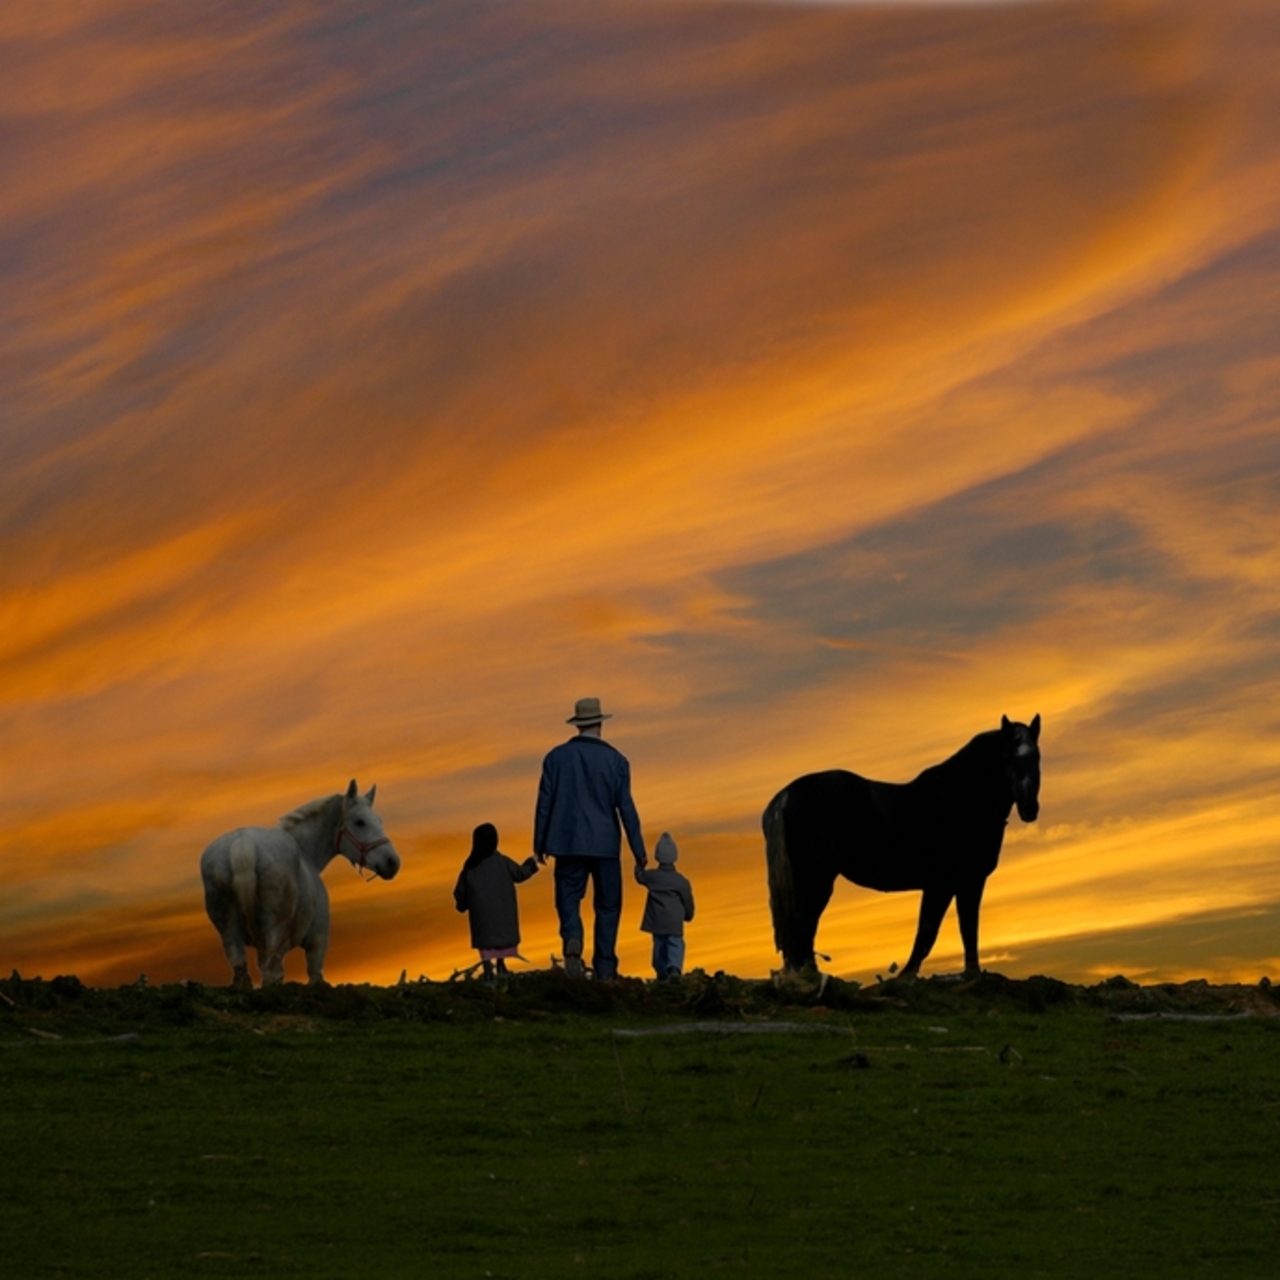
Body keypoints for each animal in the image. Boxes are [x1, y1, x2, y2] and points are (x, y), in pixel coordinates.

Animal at [198, 778, 399, 988]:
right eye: (360, 822)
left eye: (380, 821)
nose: (392, 862)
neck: (305, 853)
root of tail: (243, 843)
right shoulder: (317, 942)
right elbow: (314, 975)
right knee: (272, 974)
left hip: (230, 934)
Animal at [757, 716, 1039, 972]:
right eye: (1009, 758)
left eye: (1036, 758)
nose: (1030, 808)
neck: (959, 797)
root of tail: (786, 794)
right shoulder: (949, 883)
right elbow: (934, 931)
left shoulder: (960, 883)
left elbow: (960, 930)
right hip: (817, 879)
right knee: (804, 925)